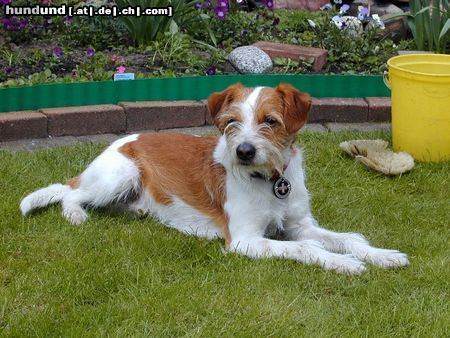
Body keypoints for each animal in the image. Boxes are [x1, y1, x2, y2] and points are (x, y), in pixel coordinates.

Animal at [20, 83, 408, 274]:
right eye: (231, 121)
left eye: (270, 121)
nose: (245, 151)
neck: (270, 180)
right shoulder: (244, 241)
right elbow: (305, 248)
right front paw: (343, 263)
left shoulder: (300, 224)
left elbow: (347, 238)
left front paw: (381, 255)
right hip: (119, 176)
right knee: (70, 192)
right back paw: (75, 214)